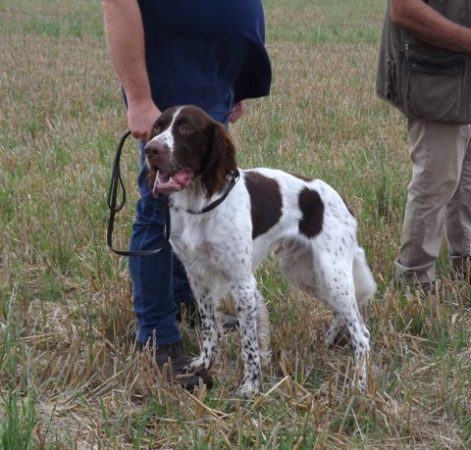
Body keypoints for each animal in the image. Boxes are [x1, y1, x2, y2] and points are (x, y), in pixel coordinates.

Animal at [146, 104, 378, 394]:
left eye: (186, 128)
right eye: (157, 127)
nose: (150, 150)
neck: (199, 203)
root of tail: (343, 204)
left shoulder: (242, 283)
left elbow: (249, 345)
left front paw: (250, 388)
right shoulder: (197, 276)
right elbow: (210, 327)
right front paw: (204, 363)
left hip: (331, 273)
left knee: (362, 335)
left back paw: (358, 385)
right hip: (305, 272)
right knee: (344, 314)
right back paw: (327, 342)